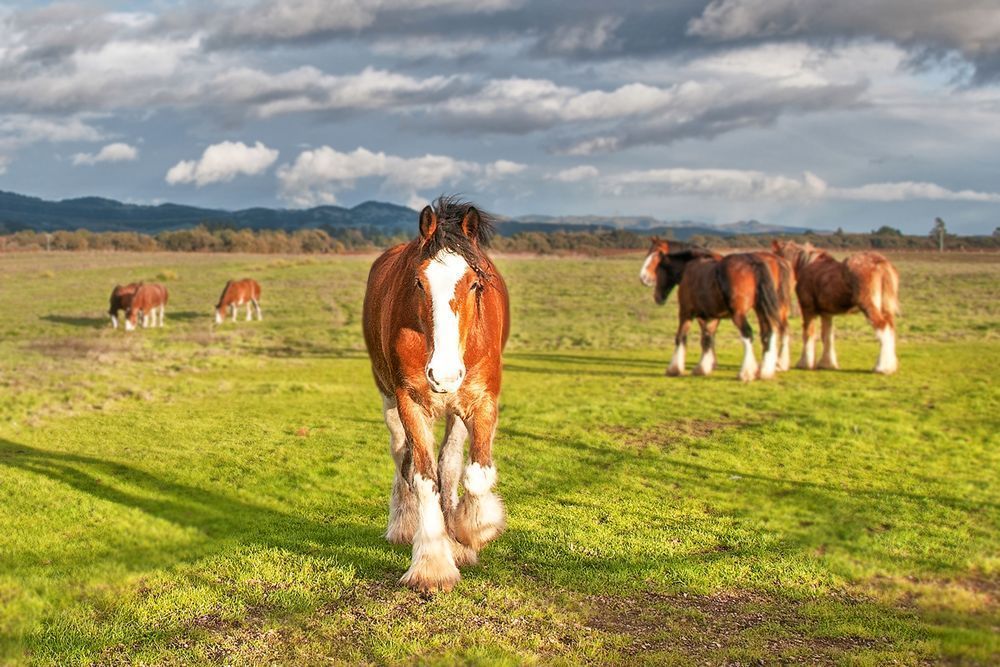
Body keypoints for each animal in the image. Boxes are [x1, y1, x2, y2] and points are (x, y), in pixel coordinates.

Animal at [362, 196, 510, 593]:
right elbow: (423, 477)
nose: (443, 376)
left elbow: (474, 472)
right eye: (419, 282)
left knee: (450, 463)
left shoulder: (482, 399)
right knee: (402, 455)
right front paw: (431, 564)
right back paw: (402, 524)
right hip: (387, 396)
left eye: (475, 283)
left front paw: (472, 531)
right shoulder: (409, 401)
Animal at [640, 239, 792, 379]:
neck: (689, 266)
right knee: (769, 332)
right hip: (763, 309)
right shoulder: (712, 316)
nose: (643, 278)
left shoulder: (686, 313)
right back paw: (766, 370)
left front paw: (674, 368)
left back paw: (746, 372)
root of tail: (755, 262)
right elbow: (707, 338)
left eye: (656, 256)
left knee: (748, 334)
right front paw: (704, 367)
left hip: (739, 314)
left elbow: (682, 337)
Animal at [772, 240, 899, 374]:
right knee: (890, 329)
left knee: (883, 328)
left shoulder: (808, 309)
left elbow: (808, 333)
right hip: (886, 309)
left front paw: (804, 363)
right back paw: (889, 366)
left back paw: (882, 368)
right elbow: (827, 336)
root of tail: (881, 263)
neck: (806, 266)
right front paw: (827, 364)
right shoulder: (826, 313)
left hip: (869, 307)